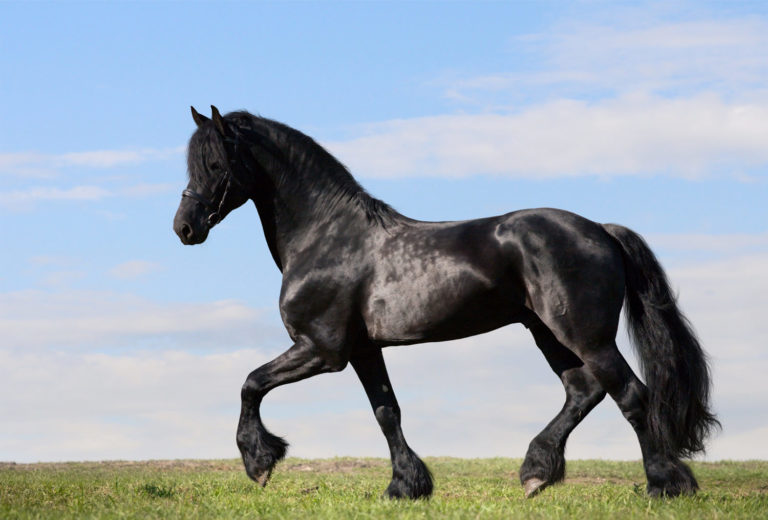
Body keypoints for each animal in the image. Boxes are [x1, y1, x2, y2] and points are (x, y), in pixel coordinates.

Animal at [173, 106, 718, 499]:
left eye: (216, 164)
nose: (185, 227)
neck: (328, 238)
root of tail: (601, 230)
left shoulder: (322, 350)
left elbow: (251, 383)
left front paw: (260, 462)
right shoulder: (364, 350)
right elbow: (386, 412)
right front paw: (405, 486)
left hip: (585, 334)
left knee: (631, 395)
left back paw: (664, 485)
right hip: (547, 333)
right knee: (584, 391)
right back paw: (537, 472)